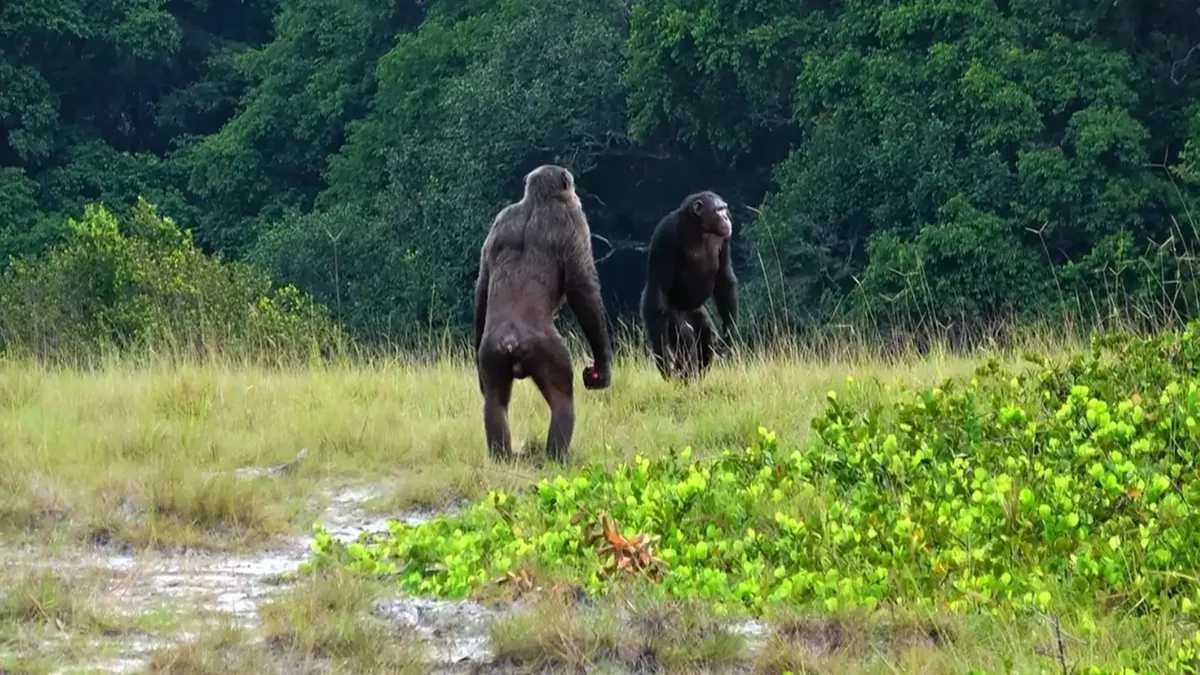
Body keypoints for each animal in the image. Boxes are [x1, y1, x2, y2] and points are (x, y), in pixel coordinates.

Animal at [472, 163, 614, 461]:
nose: (576, 192)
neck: (537, 202)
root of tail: (511, 341)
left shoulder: (499, 221)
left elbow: (482, 283)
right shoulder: (574, 221)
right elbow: (582, 287)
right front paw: (604, 368)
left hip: (491, 353)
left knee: (495, 402)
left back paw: (502, 455)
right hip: (548, 351)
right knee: (562, 400)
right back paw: (558, 456)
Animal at [643, 189, 734, 379]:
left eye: (724, 209)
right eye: (718, 210)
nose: (726, 217)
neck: (699, 228)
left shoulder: (726, 238)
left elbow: (724, 278)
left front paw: (729, 331)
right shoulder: (664, 235)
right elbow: (658, 289)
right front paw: (664, 357)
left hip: (697, 311)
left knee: (707, 335)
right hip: (673, 315)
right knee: (685, 337)